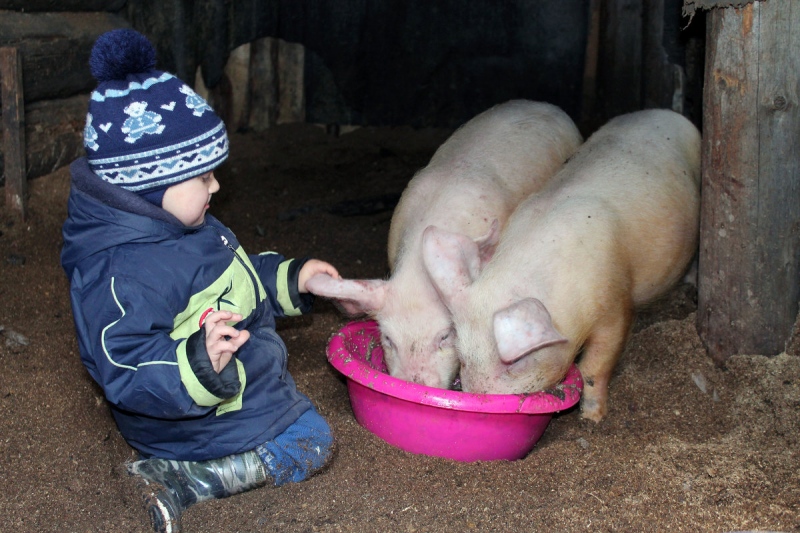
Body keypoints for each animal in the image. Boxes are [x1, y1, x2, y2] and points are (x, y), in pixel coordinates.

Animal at [422, 109, 696, 420]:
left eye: (514, 363)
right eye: (463, 356)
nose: (480, 400)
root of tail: (668, 112)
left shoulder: (616, 302)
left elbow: (595, 366)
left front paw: (592, 419)